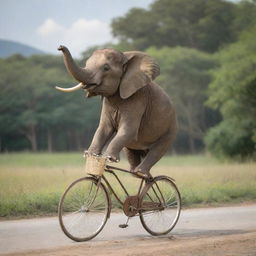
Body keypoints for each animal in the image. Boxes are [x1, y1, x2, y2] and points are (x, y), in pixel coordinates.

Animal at [55, 45, 176, 178]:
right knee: (130, 149)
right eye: (86, 63)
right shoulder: (107, 103)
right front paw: (91, 154)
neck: (126, 58)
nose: (60, 47)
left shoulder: (137, 99)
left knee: (157, 149)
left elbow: (128, 130)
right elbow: (104, 128)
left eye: (106, 68)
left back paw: (141, 173)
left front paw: (109, 158)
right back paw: (135, 173)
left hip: (170, 130)